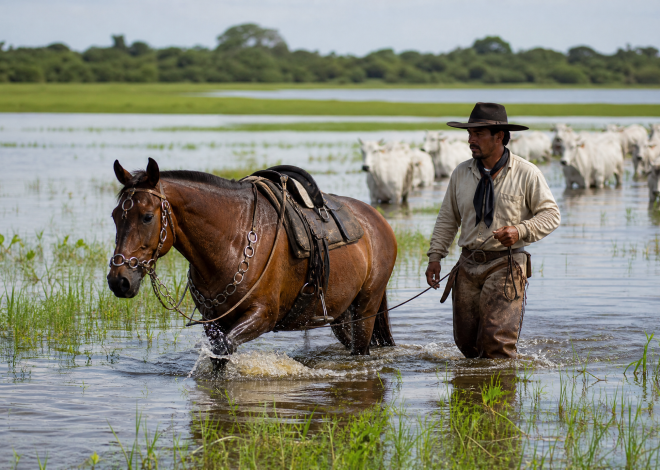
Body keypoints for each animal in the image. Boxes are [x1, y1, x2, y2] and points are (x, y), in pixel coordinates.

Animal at [107, 158, 398, 367]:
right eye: (115, 216)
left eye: (147, 216)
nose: (119, 280)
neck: (231, 241)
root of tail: (378, 221)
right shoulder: (213, 322)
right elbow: (218, 357)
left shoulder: (263, 316)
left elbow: (223, 350)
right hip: (342, 314)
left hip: (365, 308)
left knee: (361, 349)